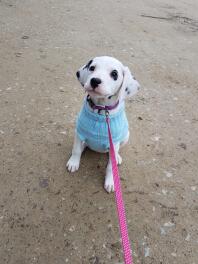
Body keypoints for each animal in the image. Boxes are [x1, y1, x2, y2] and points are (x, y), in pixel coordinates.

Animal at [66, 55, 139, 193]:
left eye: (114, 74)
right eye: (92, 68)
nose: (95, 81)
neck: (101, 110)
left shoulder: (114, 143)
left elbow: (111, 166)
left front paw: (111, 182)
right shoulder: (79, 133)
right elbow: (76, 150)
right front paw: (74, 162)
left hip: (126, 136)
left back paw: (118, 157)